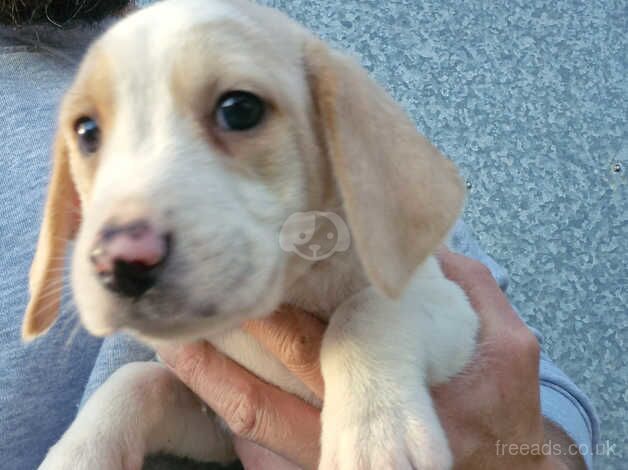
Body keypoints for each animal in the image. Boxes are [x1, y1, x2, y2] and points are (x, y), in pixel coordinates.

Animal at [23, 1, 476, 468]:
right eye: (87, 132)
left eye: (240, 109)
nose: (120, 264)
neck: (295, 289)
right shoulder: (221, 426)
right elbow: (136, 379)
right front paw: (78, 453)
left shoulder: (452, 308)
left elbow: (363, 312)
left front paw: (377, 435)